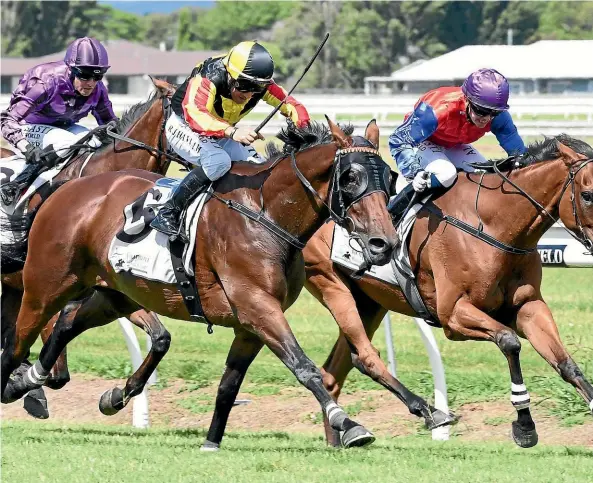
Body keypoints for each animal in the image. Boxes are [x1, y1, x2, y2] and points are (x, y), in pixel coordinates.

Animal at [2, 119, 398, 448]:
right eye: (351, 178)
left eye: (389, 177)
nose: (385, 243)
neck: (265, 214)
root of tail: (65, 188)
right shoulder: (258, 306)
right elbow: (304, 367)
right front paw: (348, 424)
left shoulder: (251, 322)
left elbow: (229, 385)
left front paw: (211, 440)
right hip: (45, 286)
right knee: (18, 342)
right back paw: (16, 383)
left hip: (116, 294)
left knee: (67, 325)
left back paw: (47, 383)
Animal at [300, 134, 592, 448]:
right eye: (588, 195)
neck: (493, 225)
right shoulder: (453, 314)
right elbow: (509, 341)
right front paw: (524, 426)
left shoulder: (527, 307)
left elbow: (566, 363)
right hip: (332, 284)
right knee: (358, 357)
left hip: (369, 303)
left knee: (334, 372)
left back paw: (343, 439)